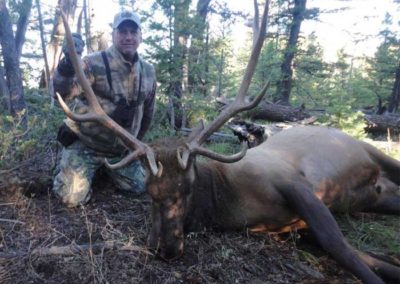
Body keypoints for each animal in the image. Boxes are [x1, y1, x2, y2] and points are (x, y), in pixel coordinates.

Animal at [58, 2, 400, 284]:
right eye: (149, 192)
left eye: (187, 187)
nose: (165, 249)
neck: (232, 203)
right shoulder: (298, 227)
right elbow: (365, 256)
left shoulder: (294, 183)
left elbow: (340, 247)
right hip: (374, 197)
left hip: (371, 152)